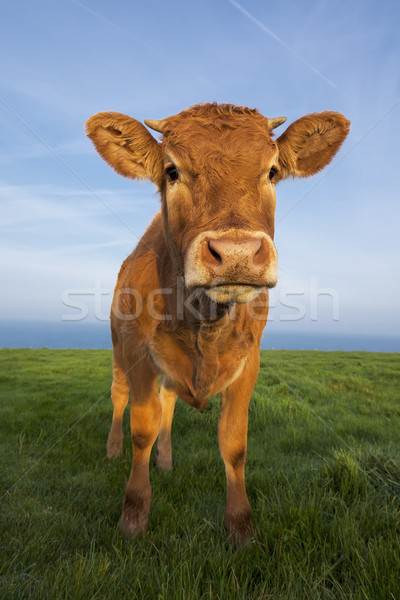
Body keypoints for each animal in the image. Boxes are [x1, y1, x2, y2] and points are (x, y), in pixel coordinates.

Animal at [86, 103, 348, 544]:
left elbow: (234, 442)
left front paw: (241, 527)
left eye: (272, 171)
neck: (203, 319)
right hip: (118, 349)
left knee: (168, 403)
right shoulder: (139, 353)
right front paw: (134, 516)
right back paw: (112, 449)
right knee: (119, 397)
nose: (237, 253)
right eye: (171, 171)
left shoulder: (249, 361)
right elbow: (142, 428)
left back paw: (166, 462)